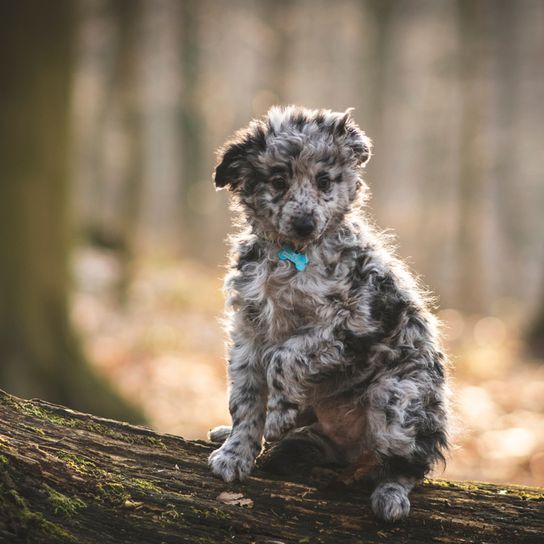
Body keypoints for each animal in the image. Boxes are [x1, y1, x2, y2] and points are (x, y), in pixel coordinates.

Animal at [206, 106, 448, 524]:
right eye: (279, 180)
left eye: (324, 181)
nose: (306, 222)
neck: (293, 255)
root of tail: (347, 449)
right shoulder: (248, 332)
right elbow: (245, 398)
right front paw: (235, 452)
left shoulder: (353, 323)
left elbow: (284, 357)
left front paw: (278, 415)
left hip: (398, 397)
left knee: (408, 464)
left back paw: (391, 495)